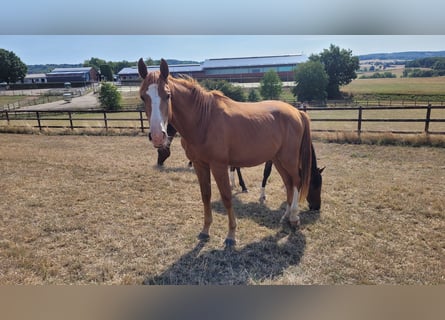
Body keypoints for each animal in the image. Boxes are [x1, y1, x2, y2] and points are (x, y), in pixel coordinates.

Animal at [137, 58, 320, 246]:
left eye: (168, 95)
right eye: (143, 96)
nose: (157, 136)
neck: (204, 120)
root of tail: (297, 112)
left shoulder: (219, 165)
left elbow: (226, 196)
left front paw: (231, 235)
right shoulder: (199, 164)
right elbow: (206, 195)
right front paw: (205, 230)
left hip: (289, 159)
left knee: (296, 181)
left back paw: (294, 218)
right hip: (278, 159)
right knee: (289, 183)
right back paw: (286, 216)